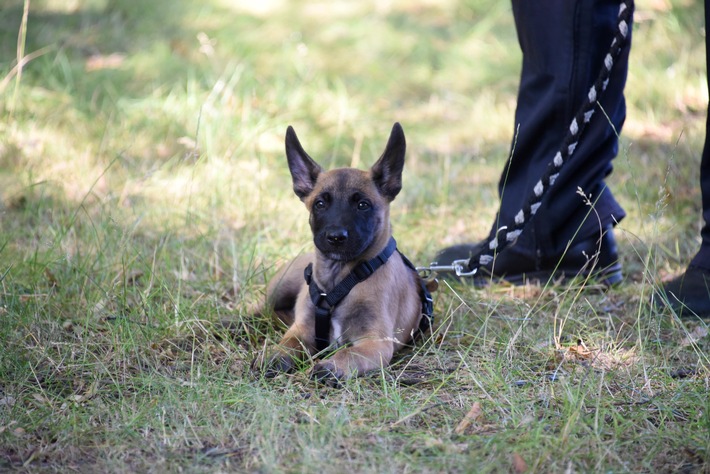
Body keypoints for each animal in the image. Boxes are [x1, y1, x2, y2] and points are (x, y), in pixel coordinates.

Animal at [256, 122, 434, 386]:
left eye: (363, 205)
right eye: (320, 204)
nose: (336, 237)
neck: (340, 280)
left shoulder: (376, 343)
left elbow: (349, 353)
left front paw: (331, 366)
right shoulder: (301, 330)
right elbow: (287, 343)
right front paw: (275, 356)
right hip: (278, 290)